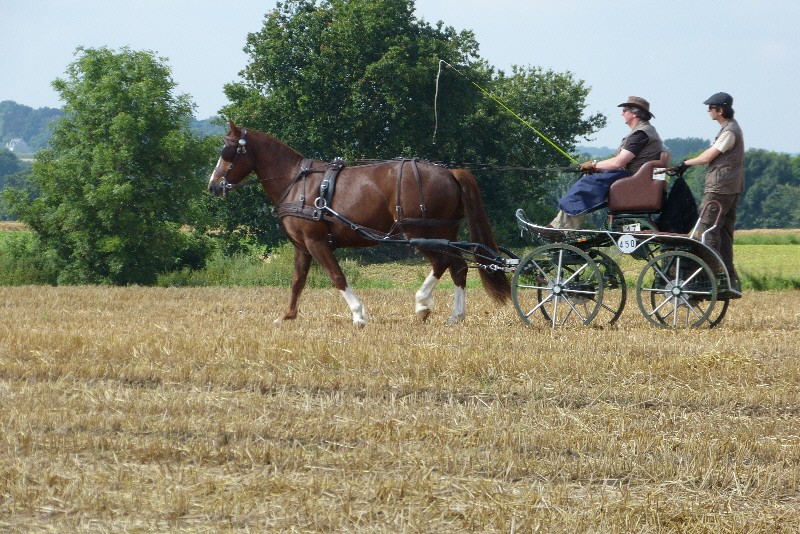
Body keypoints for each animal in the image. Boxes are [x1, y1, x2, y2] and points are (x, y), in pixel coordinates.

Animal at [206, 122, 506, 326]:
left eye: (227, 150)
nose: (213, 186)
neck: (296, 182)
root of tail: (450, 172)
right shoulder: (302, 247)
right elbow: (297, 281)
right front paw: (288, 316)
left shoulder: (317, 242)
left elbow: (337, 277)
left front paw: (359, 315)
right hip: (444, 232)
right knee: (458, 266)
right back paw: (456, 315)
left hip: (418, 232)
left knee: (443, 263)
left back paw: (422, 305)